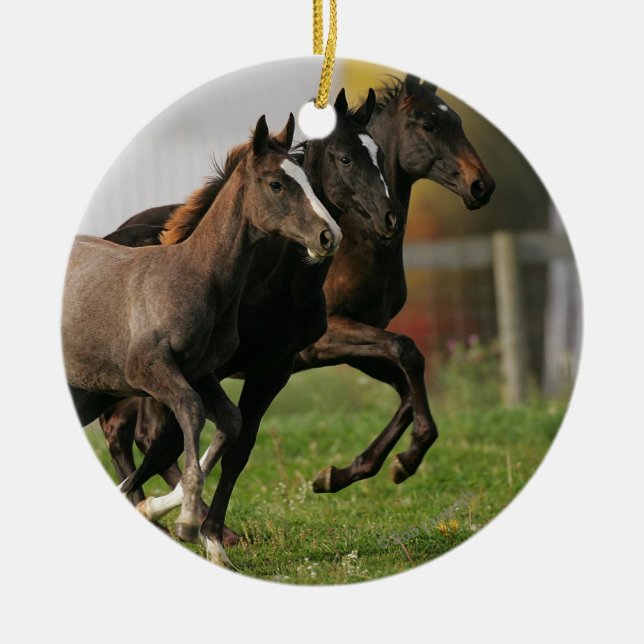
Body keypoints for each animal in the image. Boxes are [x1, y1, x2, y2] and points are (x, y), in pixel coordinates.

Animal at [63, 114, 342, 558]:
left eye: (309, 180)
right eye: (276, 184)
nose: (329, 236)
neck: (196, 277)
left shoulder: (202, 372)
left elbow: (229, 422)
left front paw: (165, 512)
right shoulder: (148, 370)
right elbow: (191, 415)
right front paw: (189, 519)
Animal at [93, 89, 403, 564]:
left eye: (381, 155)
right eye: (345, 158)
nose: (389, 218)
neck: (274, 286)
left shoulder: (272, 370)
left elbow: (238, 445)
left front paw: (210, 536)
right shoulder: (204, 371)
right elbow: (176, 439)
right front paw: (176, 515)